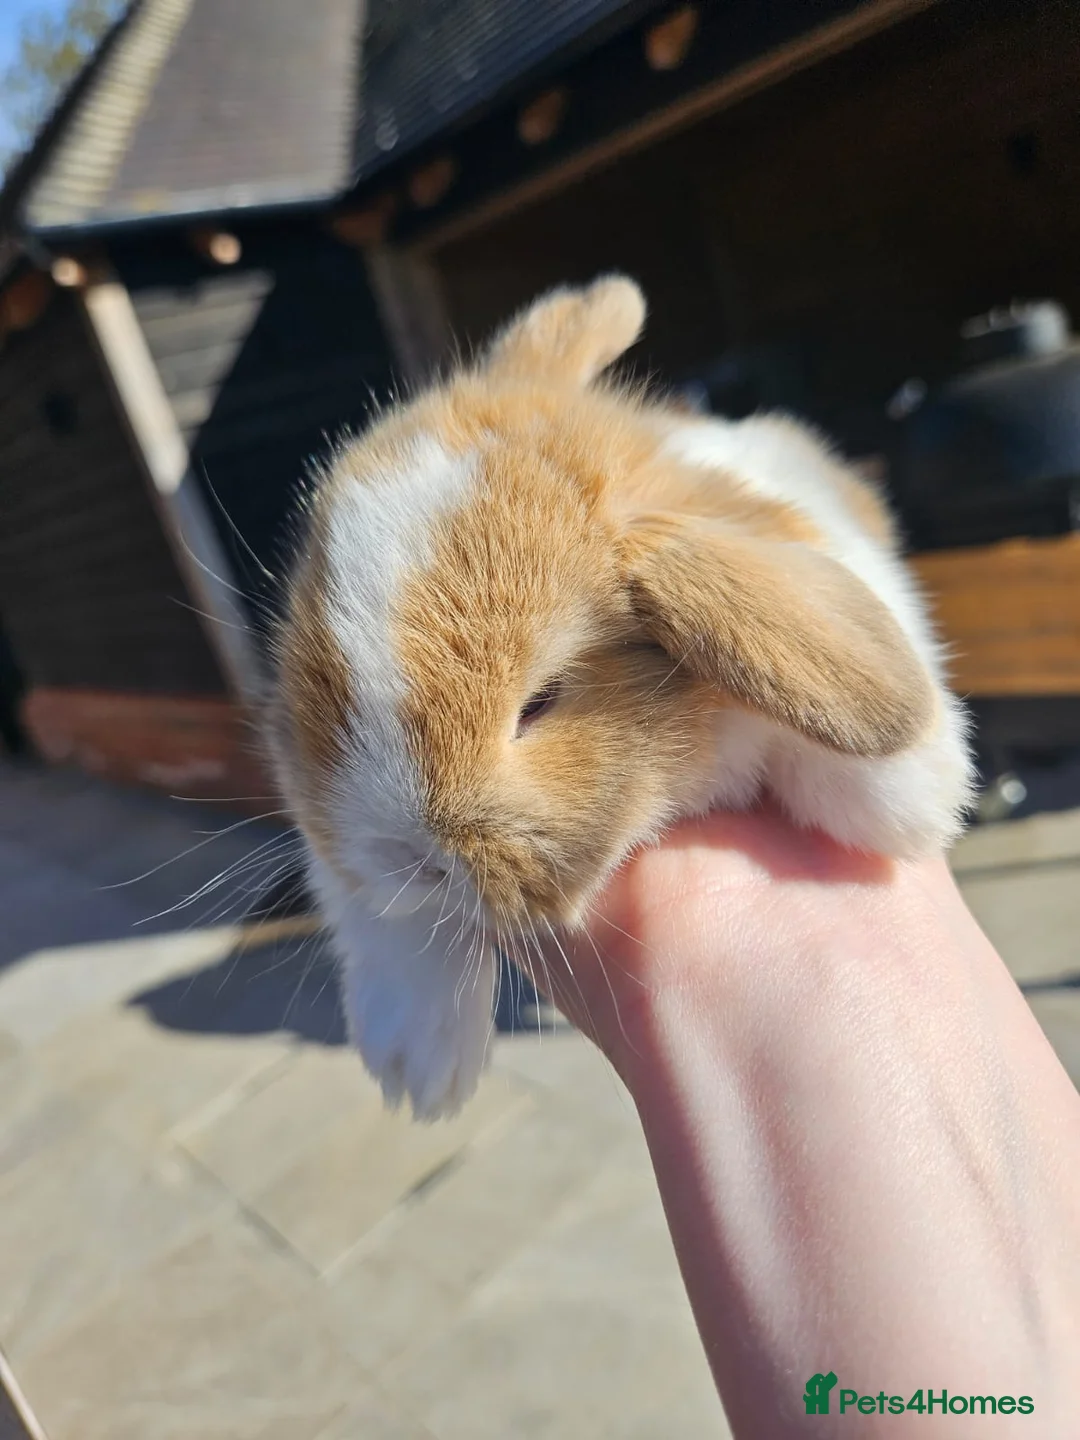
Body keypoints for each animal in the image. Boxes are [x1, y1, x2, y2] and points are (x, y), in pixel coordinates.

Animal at [268, 275, 974, 1120]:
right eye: (317, 677)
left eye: (540, 702)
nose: (404, 855)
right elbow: (380, 920)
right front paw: (419, 1072)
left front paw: (913, 804)